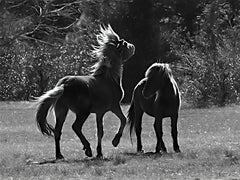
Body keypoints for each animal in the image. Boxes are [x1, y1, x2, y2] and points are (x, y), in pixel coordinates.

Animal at [35, 24, 135, 160]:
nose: (133, 46)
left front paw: (99, 152)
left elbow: (100, 131)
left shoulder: (99, 112)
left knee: (57, 131)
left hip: (62, 111)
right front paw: (115, 141)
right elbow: (123, 120)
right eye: (125, 44)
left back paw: (60, 155)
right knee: (76, 127)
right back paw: (87, 149)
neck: (109, 78)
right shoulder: (114, 107)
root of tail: (64, 85)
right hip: (83, 112)